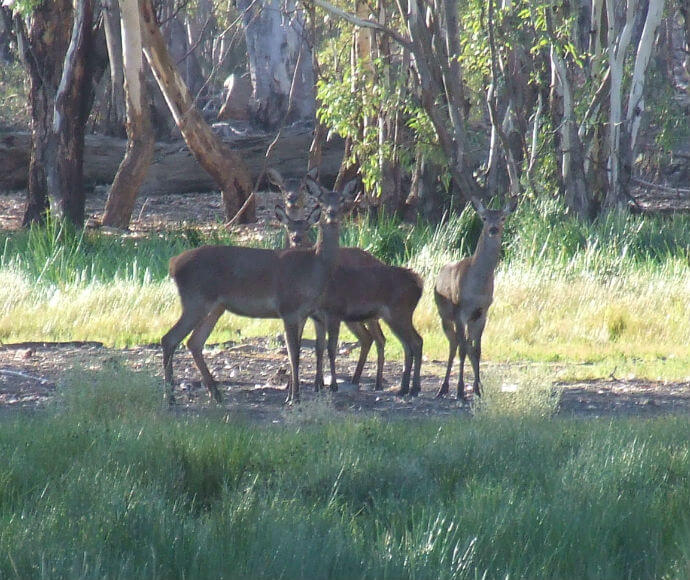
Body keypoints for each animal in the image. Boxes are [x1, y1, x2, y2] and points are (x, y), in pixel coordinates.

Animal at [161, 171, 354, 404]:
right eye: (322, 200)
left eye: (342, 200)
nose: (332, 213)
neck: (315, 267)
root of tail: (173, 264)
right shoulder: (288, 308)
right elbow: (294, 353)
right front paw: (295, 398)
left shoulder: (303, 312)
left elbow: (297, 351)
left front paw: (291, 395)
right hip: (195, 300)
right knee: (169, 338)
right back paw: (171, 397)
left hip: (215, 306)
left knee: (194, 342)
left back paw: (216, 394)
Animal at [432, 197, 512, 402]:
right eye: (484, 218)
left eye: (502, 218)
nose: (493, 229)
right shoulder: (461, 311)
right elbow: (462, 350)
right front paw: (460, 390)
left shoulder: (482, 313)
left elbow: (477, 351)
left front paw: (478, 389)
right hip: (444, 315)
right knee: (454, 344)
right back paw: (443, 388)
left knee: (465, 344)